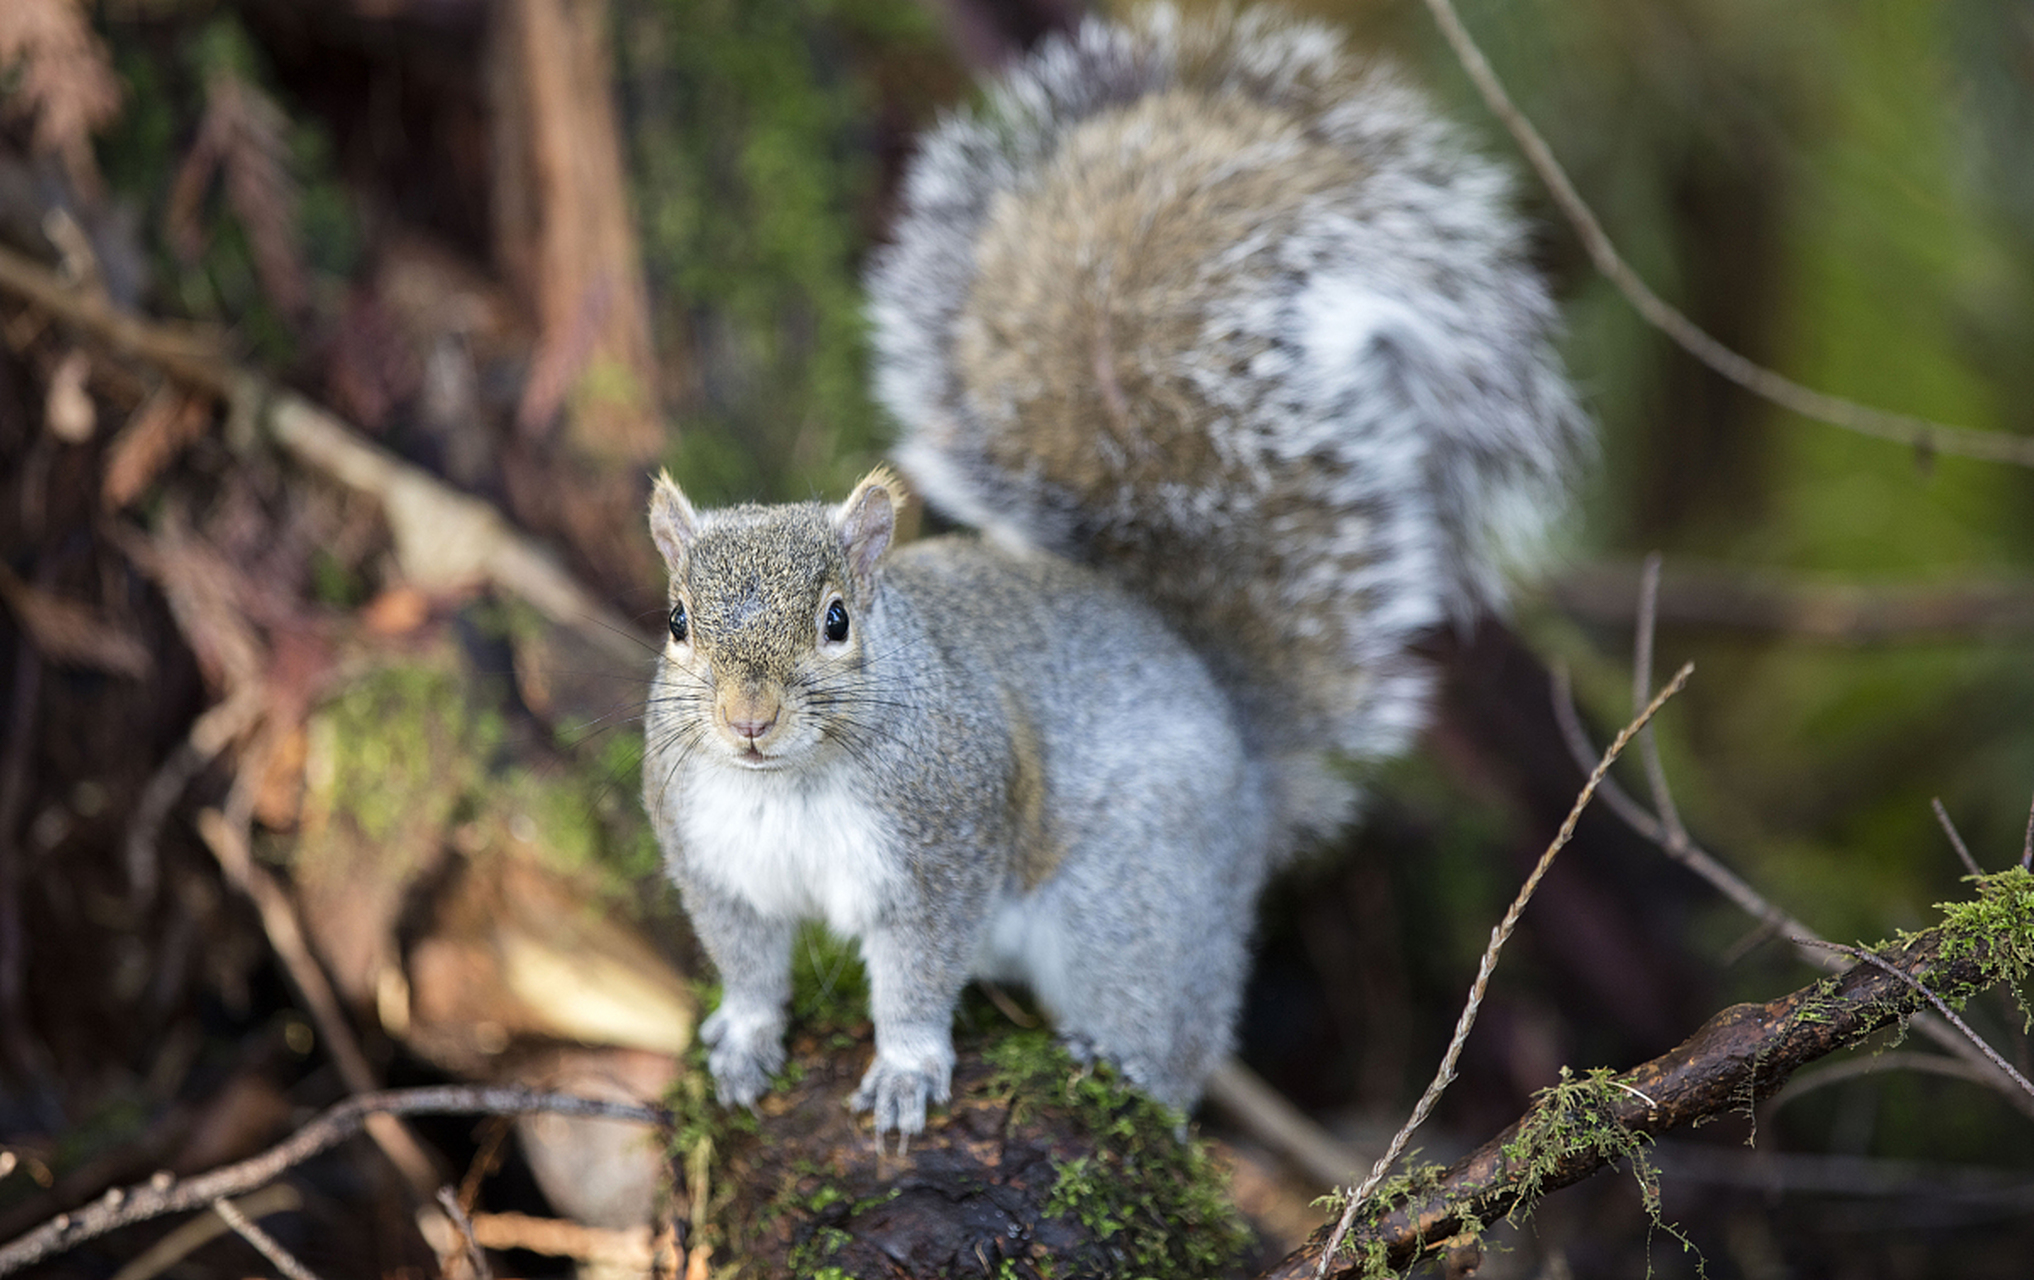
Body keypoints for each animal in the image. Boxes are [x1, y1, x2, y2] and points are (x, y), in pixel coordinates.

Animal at [642, 2, 1578, 1139]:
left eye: (835, 620)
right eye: (677, 620)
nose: (747, 717)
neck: (785, 786)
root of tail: (1245, 764)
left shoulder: (946, 844)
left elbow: (917, 971)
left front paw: (906, 1067)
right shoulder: (711, 858)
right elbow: (746, 962)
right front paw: (742, 1038)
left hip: (1134, 900)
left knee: (1169, 1024)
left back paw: (1124, 1067)